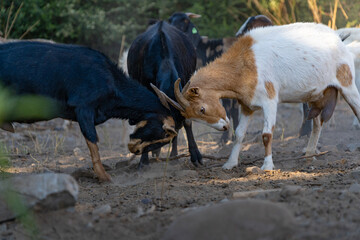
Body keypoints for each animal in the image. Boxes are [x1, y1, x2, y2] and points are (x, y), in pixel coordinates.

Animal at [0, 41, 177, 181]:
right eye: (164, 133)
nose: (137, 150)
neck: (110, 79)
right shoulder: (83, 107)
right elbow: (92, 139)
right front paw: (104, 177)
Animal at [126, 20, 202, 167]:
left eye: (163, 134)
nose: (135, 148)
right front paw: (143, 161)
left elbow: (187, 122)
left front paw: (195, 155)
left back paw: (173, 155)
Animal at [153, 21, 360, 170]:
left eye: (202, 109)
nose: (223, 126)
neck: (245, 62)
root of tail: (341, 42)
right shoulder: (247, 105)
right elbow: (239, 134)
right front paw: (229, 164)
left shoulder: (269, 100)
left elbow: (267, 134)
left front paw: (267, 166)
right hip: (315, 94)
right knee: (317, 123)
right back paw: (309, 154)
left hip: (347, 83)